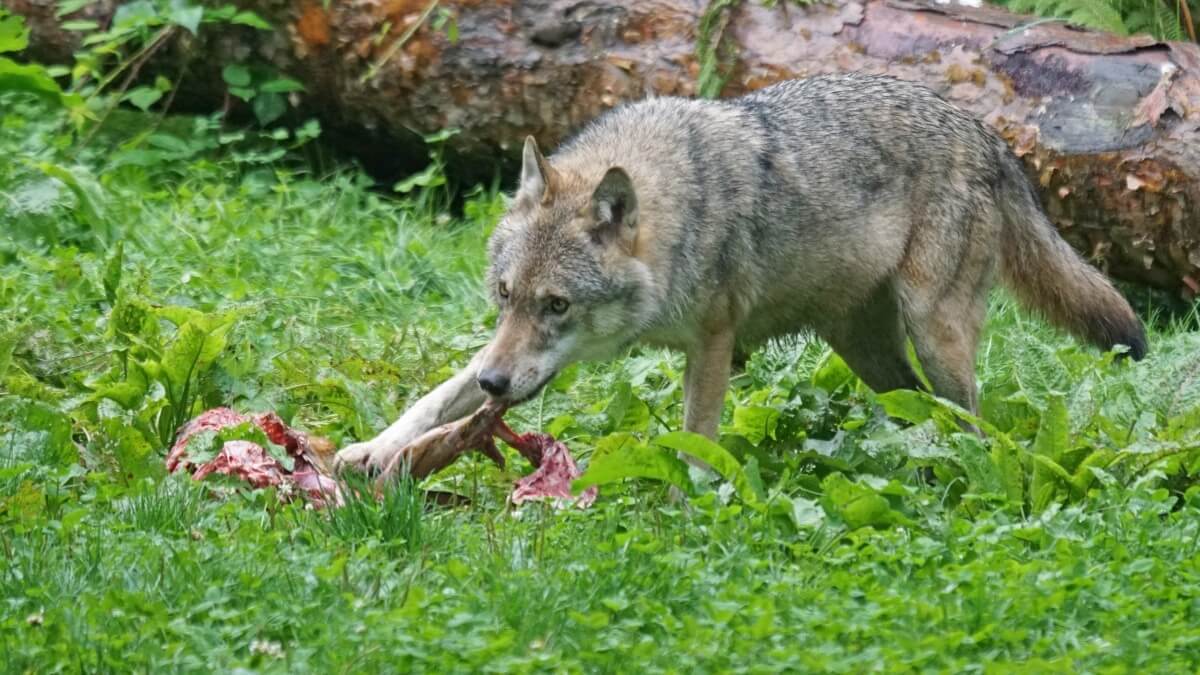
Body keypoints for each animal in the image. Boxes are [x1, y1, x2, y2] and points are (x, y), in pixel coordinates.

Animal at [336, 73, 1146, 472]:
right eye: (506, 296)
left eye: (557, 305)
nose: (499, 386)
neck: (675, 214)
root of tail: (987, 132)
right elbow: (435, 396)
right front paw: (372, 450)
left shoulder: (714, 343)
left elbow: (696, 434)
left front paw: (688, 507)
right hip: (865, 348)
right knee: (918, 406)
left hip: (932, 330)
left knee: (973, 421)